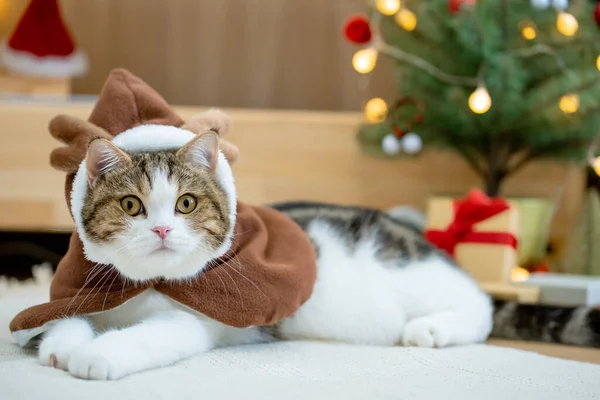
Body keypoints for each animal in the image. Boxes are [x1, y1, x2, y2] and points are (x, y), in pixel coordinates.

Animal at [36, 122, 596, 382]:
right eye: (131, 205)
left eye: (186, 203)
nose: (160, 229)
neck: (141, 288)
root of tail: (411, 232)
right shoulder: (82, 289)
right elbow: (63, 319)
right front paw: (61, 345)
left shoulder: (199, 318)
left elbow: (152, 335)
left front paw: (98, 356)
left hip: (409, 274)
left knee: (478, 305)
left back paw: (432, 328)